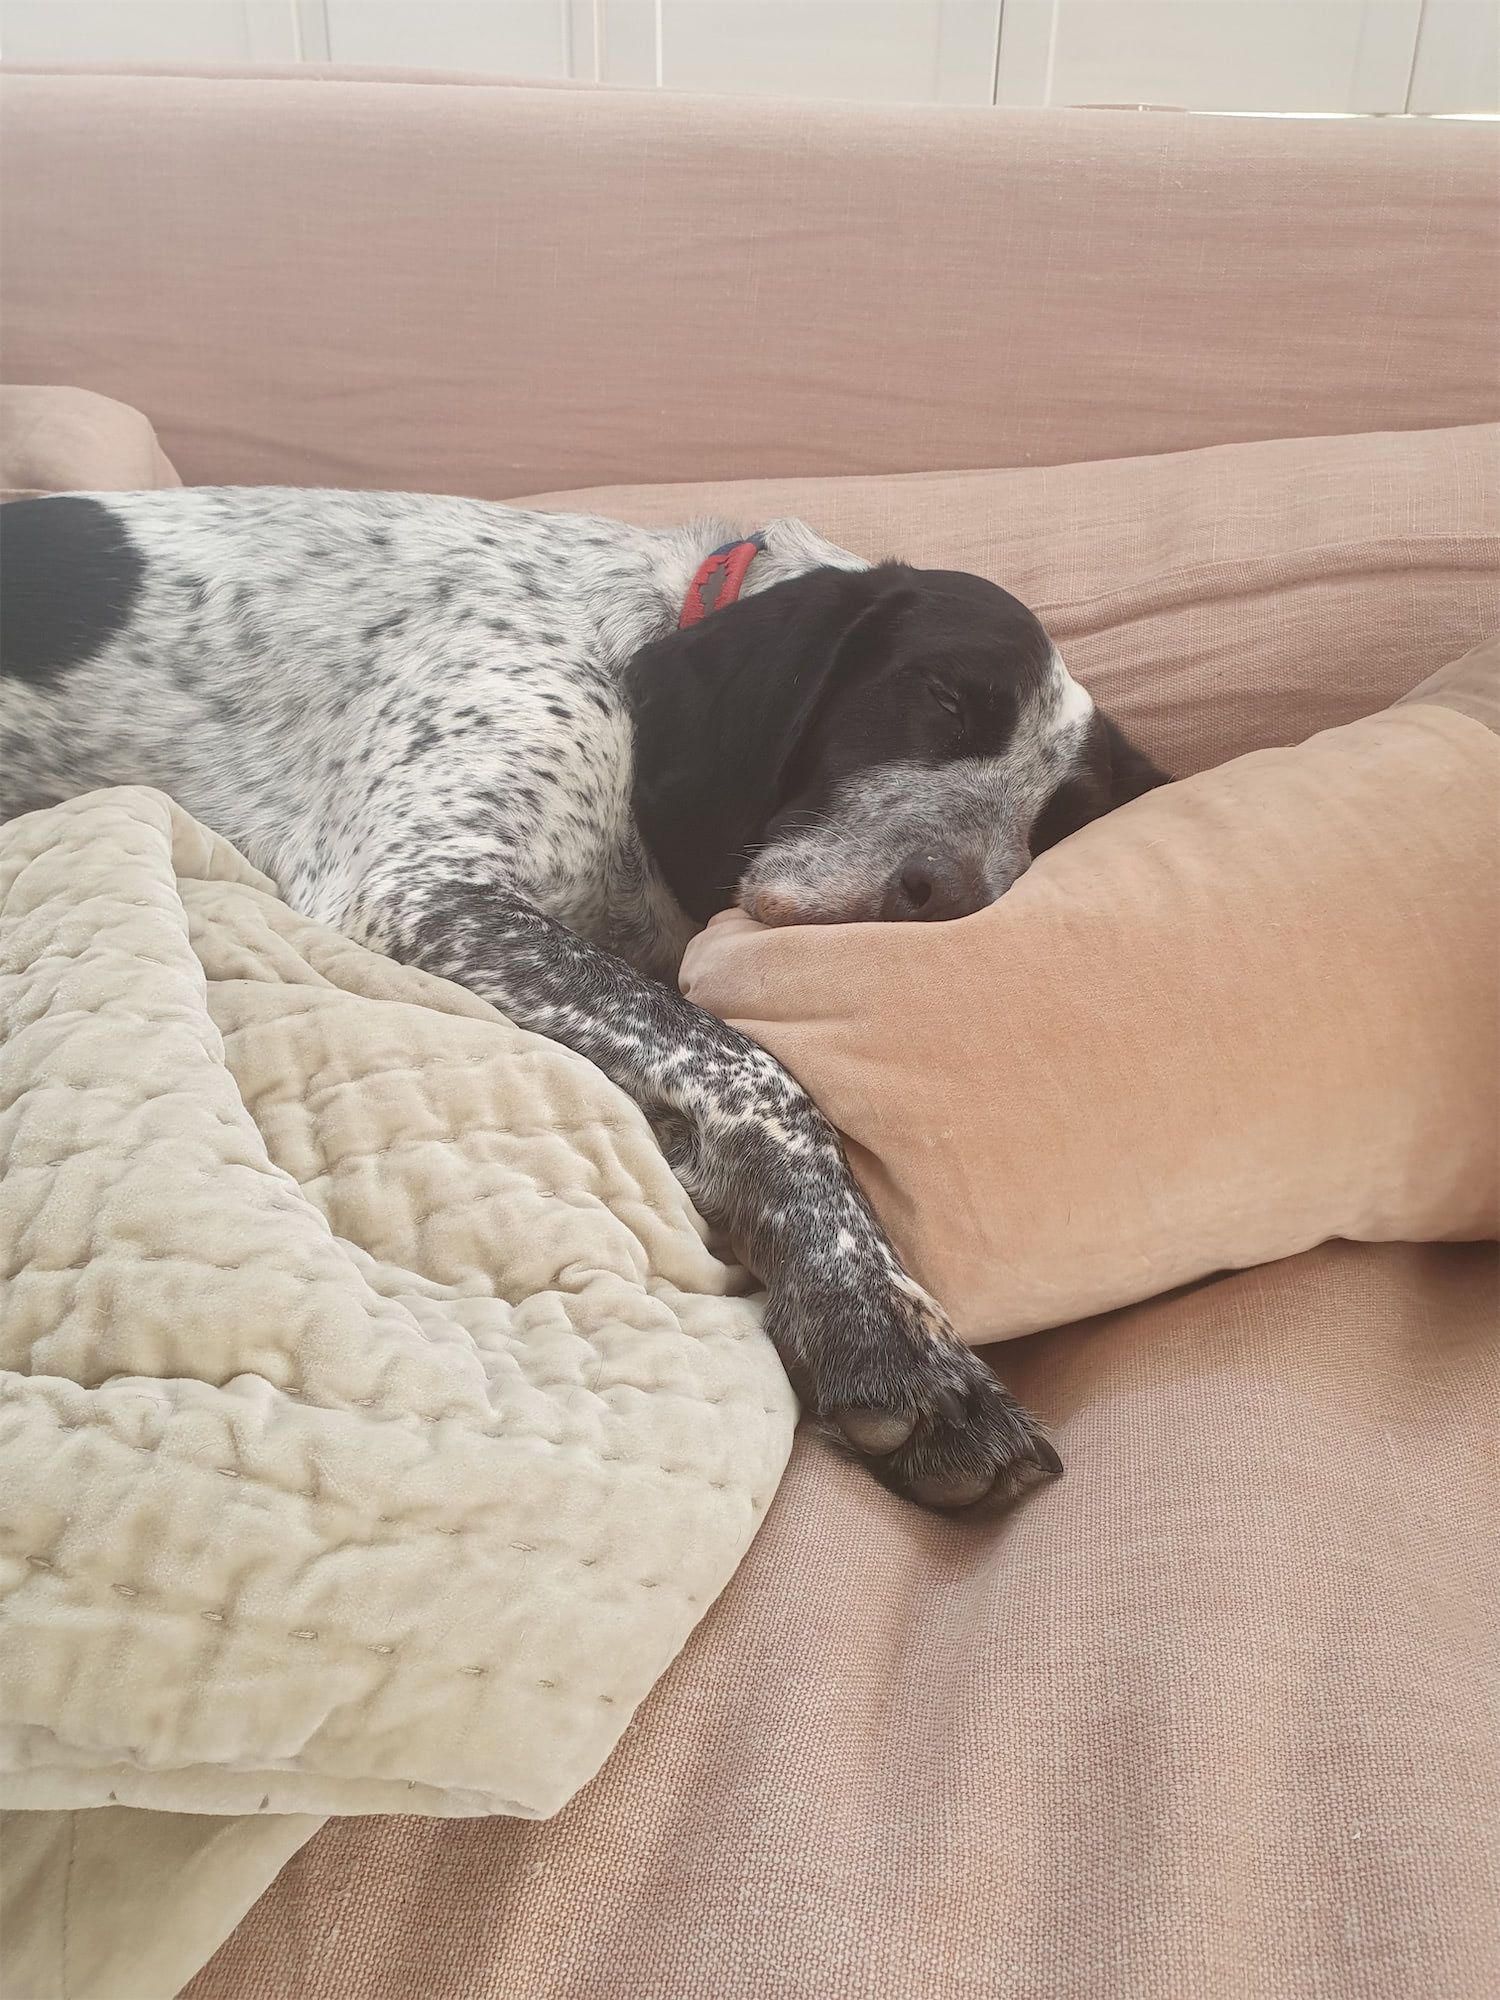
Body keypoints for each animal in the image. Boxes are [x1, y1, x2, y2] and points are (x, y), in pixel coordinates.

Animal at [0, 489, 1167, 1511]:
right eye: (943, 697)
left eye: (1054, 822)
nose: (948, 898)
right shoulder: (419, 895)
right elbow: (756, 1071)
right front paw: (880, 1331)